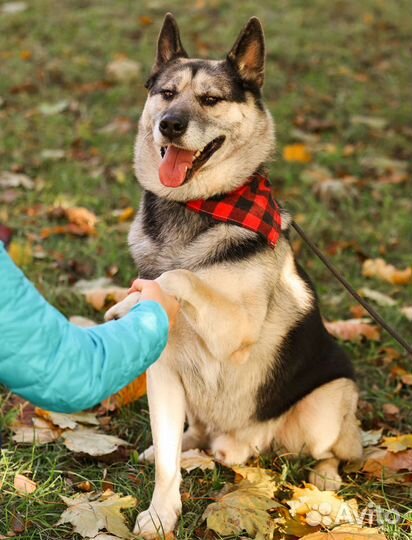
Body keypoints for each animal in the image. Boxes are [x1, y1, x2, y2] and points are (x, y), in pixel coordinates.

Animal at [104, 14, 362, 536]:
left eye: (210, 99)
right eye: (166, 93)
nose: (169, 124)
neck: (197, 207)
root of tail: (245, 443)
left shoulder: (234, 331)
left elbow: (179, 279)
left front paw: (134, 298)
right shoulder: (163, 375)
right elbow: (166, 463)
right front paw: (162, 512)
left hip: (327, 406)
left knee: (335, 450)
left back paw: (325, 478)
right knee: (191, 436)